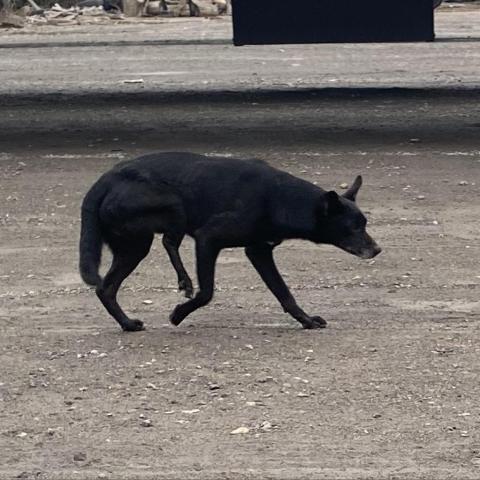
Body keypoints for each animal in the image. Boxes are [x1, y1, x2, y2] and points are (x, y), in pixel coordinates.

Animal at [79, 152, 380, 332]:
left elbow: (284, 293)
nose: (377, 249)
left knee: (105, 288)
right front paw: (179, 314)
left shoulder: (259, 251)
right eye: (353, 228)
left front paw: (305, 320)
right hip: (168, 213)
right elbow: (206, 292)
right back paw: (183, 282)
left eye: (364, 223)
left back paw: (127, 323)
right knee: (168, 242)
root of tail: (106, 180)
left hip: (133, 245)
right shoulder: (208, 239)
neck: (280, 197)